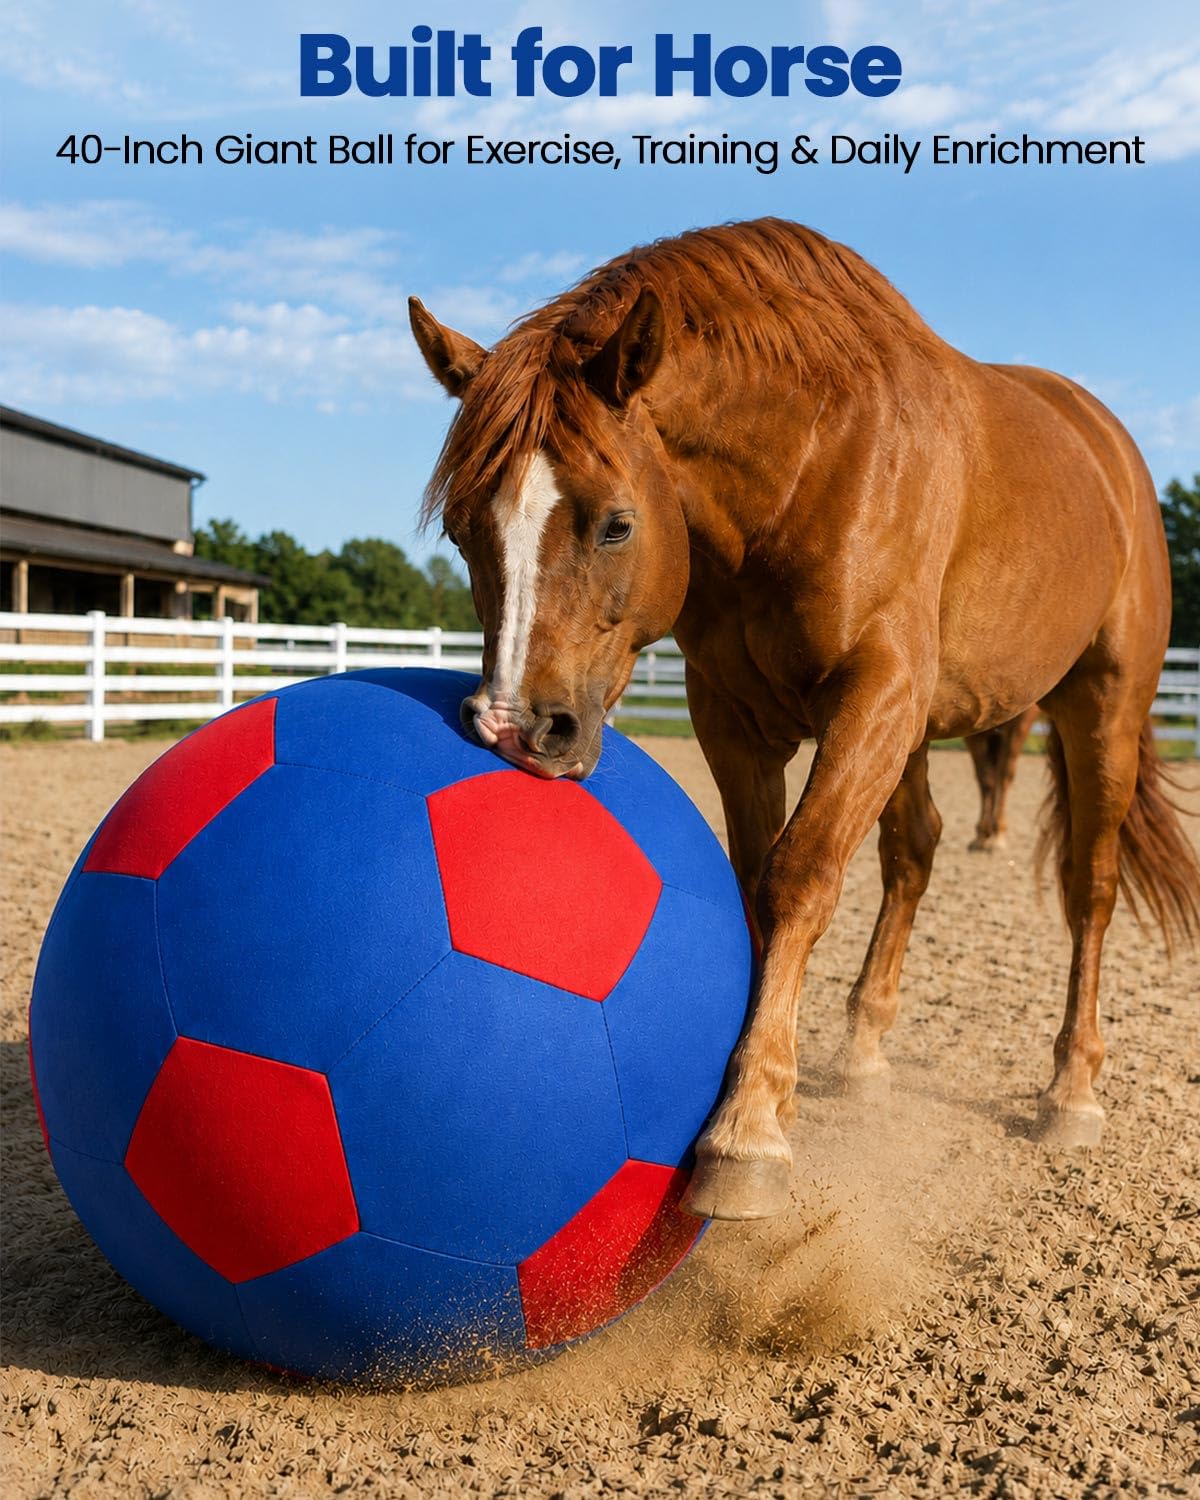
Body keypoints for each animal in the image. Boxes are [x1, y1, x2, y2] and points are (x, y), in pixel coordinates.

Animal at [408, 217, 1198, 1221]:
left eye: (616, 523)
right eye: (464, 529)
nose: (513, 728)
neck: (813, 460)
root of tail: (1107, 445)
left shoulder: (875, 695)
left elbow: (801, 877)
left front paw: (747, 1130)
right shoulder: (736, 716)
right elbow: (758, 884)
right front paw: (769, 1092)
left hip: (1102, 708)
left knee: (1088, 887)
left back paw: (1071, 1091)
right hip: (924, 733)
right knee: (916, 853)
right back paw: (863, 1054)